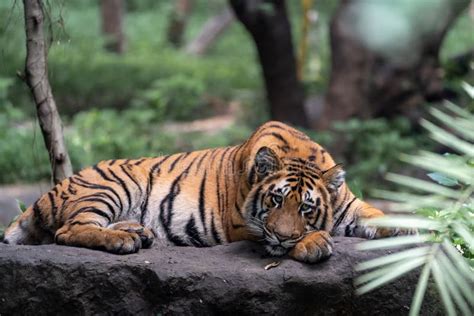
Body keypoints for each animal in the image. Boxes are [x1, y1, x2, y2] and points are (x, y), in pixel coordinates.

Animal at [2, 120, 404, 262]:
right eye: (275, 199)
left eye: (306, 207)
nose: (282, 235)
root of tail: (52, 189)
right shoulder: (244, 226)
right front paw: (313, 243)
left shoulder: (350, 206)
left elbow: (382, 216)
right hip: (111, 186)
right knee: (67, 230)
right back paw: (123, 240)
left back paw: (137, 231)